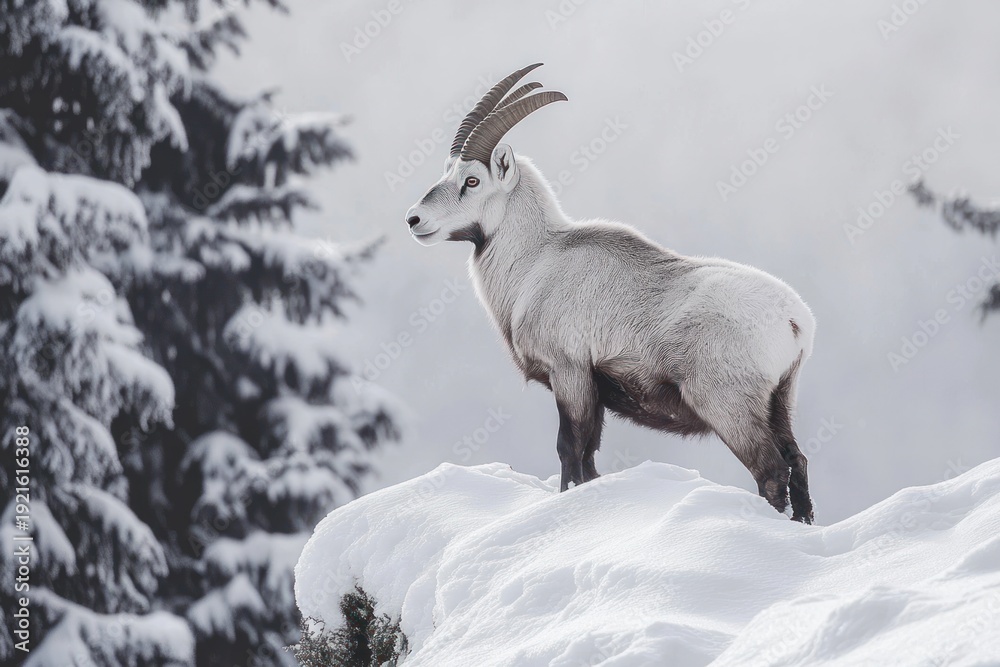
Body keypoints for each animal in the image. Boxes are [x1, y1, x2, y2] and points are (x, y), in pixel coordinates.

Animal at [404, 64, 817, 523]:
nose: (414, 219)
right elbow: (589, 458)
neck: (537, 258)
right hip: (779, 401)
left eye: (472, 180)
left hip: (728, 405)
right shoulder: (595, 391)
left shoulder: (570, 373)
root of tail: (794, 319)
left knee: (771, 468)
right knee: (797, 461)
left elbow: (571, 450)